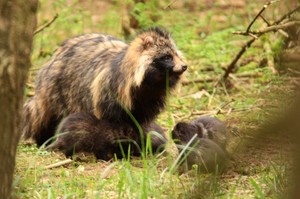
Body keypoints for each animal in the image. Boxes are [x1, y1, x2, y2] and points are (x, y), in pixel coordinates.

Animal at [23, 27, 186, 146]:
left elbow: (139, 120)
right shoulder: (109, 90)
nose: (184, 66)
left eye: (177, 55)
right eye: (167, 57)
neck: (152, 82)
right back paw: (44, 137)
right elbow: (108, 121)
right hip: (59, 88)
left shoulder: (150, 98)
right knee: (48, 114)